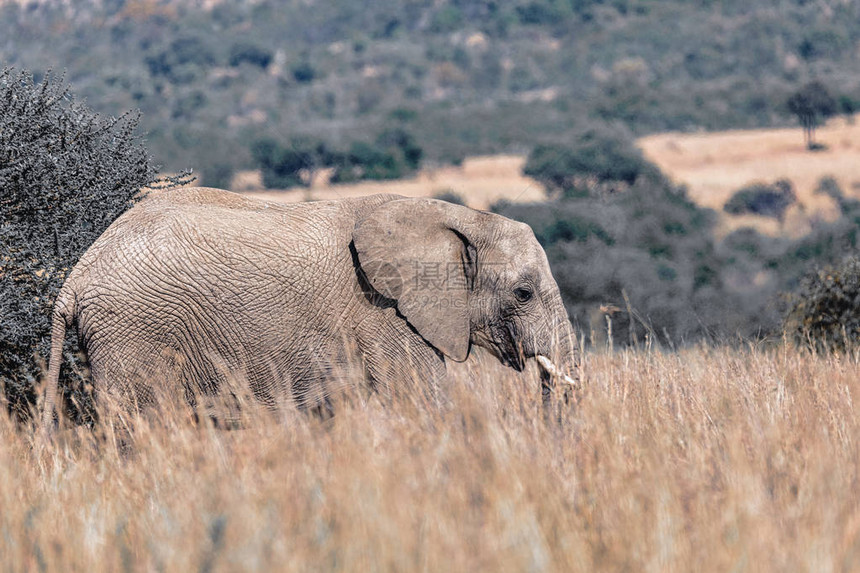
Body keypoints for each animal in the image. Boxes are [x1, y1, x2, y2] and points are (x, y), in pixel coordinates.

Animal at [38, 188, 576, 428]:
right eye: (523, 293)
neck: (454, 216)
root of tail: (76, 275)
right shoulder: (385, 314)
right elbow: (420, 401)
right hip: (133, 331)